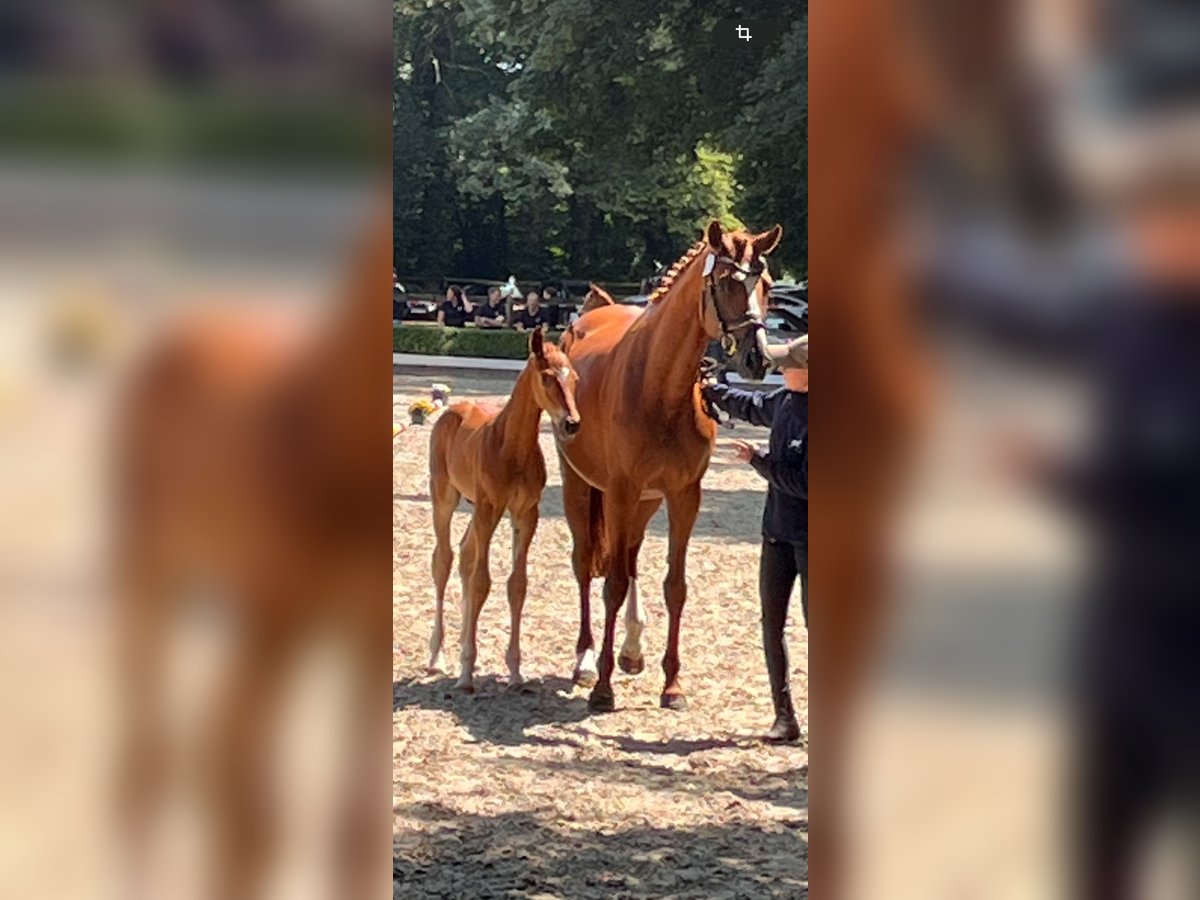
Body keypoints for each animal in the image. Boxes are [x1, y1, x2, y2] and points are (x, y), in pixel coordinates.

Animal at [429, 331, 583, 691]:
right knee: (444, 560)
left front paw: (514, 671)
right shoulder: (490, 508)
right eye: (547, 377)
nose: (572, 424)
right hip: (444, 498)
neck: (511, 448)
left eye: (574, 378)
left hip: (475, 511)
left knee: (465, 554)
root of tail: (453, 408)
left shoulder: (525, 514)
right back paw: (438, 657)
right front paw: (466, 674)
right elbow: (481, 582)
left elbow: (517, 585)